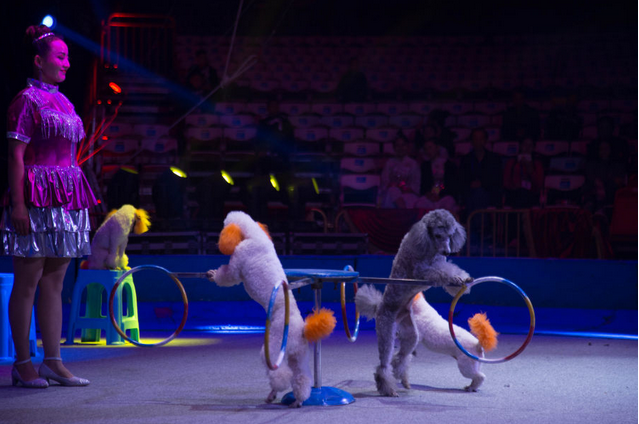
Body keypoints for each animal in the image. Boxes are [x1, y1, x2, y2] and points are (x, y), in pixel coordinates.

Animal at [209, 212, 340, 408]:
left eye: (225, 225)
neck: (255, 235)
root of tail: (302, 329)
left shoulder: (240, 257)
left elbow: (229, 275)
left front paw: (214, 275)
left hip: (275, 345)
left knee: (282, 374)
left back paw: (278, 389)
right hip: (298, 354)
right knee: (301, 376)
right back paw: (298, 400)